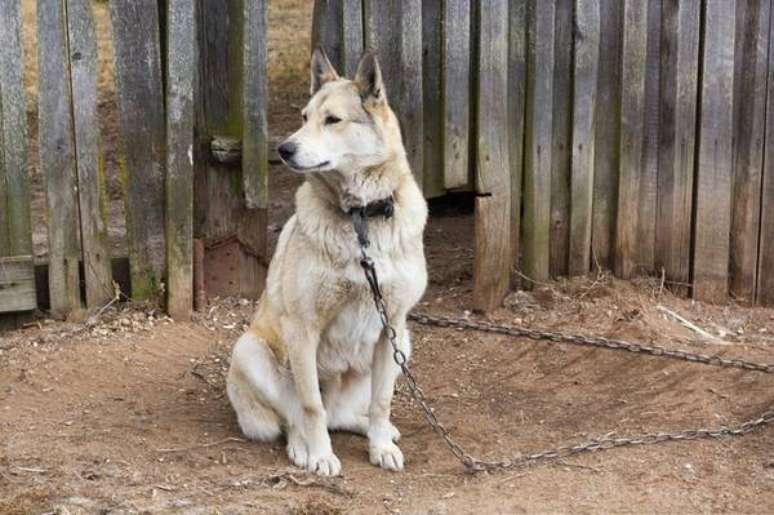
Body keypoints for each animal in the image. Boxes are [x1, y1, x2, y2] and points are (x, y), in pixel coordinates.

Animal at [224, 46, 430, 478]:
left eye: (332, 120)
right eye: (303, 117)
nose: (284, 149)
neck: (361, 216)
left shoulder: (391, 328)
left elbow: (382, 401)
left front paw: (381, 448)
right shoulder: (302, 329)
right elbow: (310, 407)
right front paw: (320, 455)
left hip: (404, 341)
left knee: (346, 414)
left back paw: (376, 431)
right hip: (251, 351)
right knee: (296, 416)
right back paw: (302, 448)